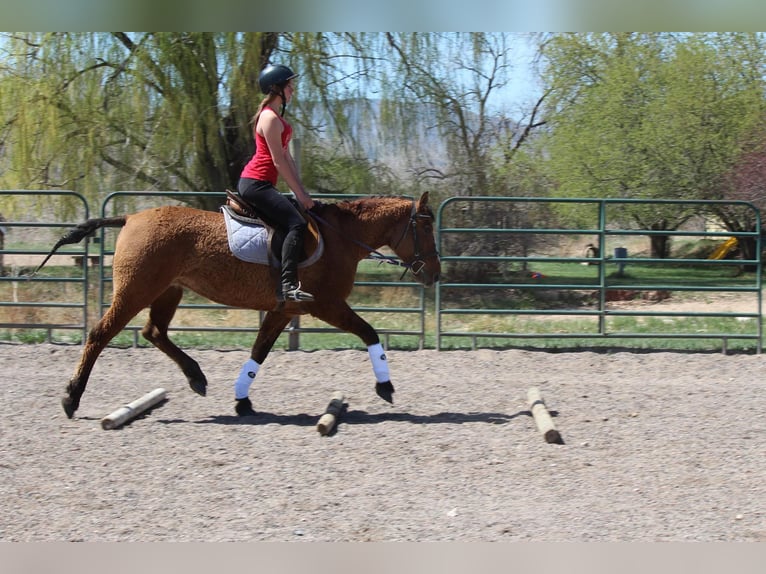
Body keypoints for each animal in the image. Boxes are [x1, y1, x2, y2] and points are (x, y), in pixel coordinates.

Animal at [32, 192, 440, 419]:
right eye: (426, 228)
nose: (436, 273)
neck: (340, 237)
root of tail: (131, 216)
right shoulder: (326, 306)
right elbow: (369, 332)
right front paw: (385, 386)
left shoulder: (284, 311)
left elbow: (259, 352)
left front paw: (243, 400)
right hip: (136, 290)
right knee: (101, 334)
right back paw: (72, 397)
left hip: (168, 291)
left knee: (154, 331)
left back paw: (196, 376)